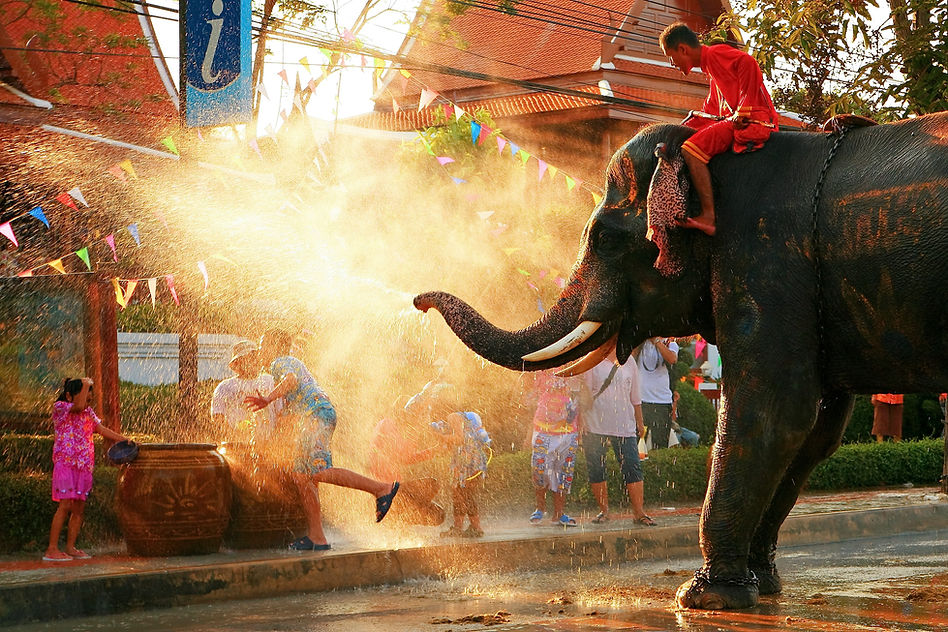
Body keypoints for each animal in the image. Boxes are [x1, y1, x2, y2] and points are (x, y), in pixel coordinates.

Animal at [413, 111, 948, 610]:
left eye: (605, 239)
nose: (418, 301)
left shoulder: (766, 263)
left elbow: (773, 414)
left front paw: (704, 598)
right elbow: (816, 432)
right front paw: (761, 586)